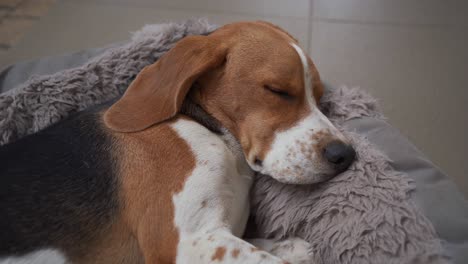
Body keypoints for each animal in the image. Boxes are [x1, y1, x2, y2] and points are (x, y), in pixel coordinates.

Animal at [0, 21, 354, 264]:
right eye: (277, 90)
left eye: (319, 96)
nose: (346, 154)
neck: (213, 131)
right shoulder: (189, 243)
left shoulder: (219, 233)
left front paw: (291, 246)